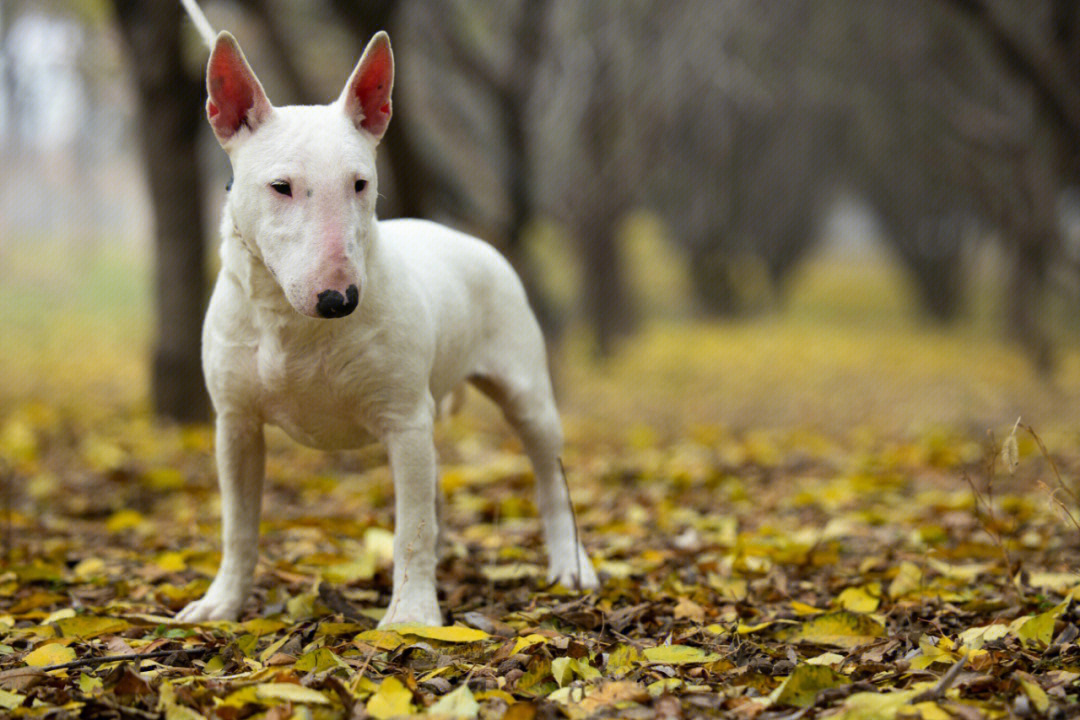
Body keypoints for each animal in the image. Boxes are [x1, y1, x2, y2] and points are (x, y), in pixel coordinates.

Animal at [176, 26, 600, 626]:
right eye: (281, 186)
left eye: (360, 183)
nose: (340, 300)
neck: (290, 322)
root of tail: (469, 240)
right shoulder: (234, 423)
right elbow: (239, 523)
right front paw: (222, 603)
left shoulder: (404, 419)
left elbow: (411, 527)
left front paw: (412, 617)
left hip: (525, 391)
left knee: (548, 481)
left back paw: (572, 567)